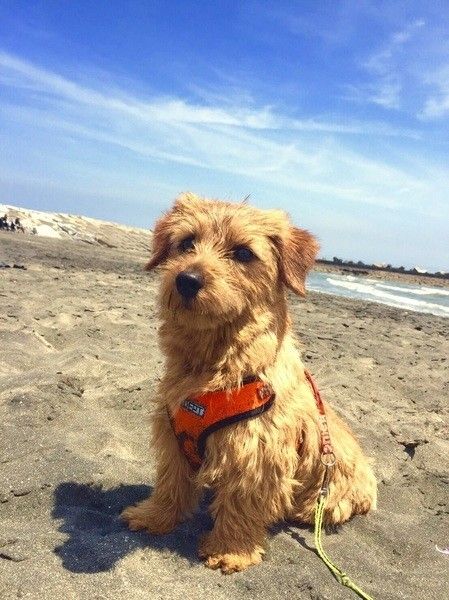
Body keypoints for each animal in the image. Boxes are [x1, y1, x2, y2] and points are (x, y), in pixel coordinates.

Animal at [121, 192, 377, 573]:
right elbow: (170, 483)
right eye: (186, 242)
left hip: (327, 499)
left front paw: (231, 550)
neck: (213, 364)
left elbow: (242, 502)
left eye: (243, 253)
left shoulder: (257, 449)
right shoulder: (172, 434)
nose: (187, 279)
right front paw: (154, 517)